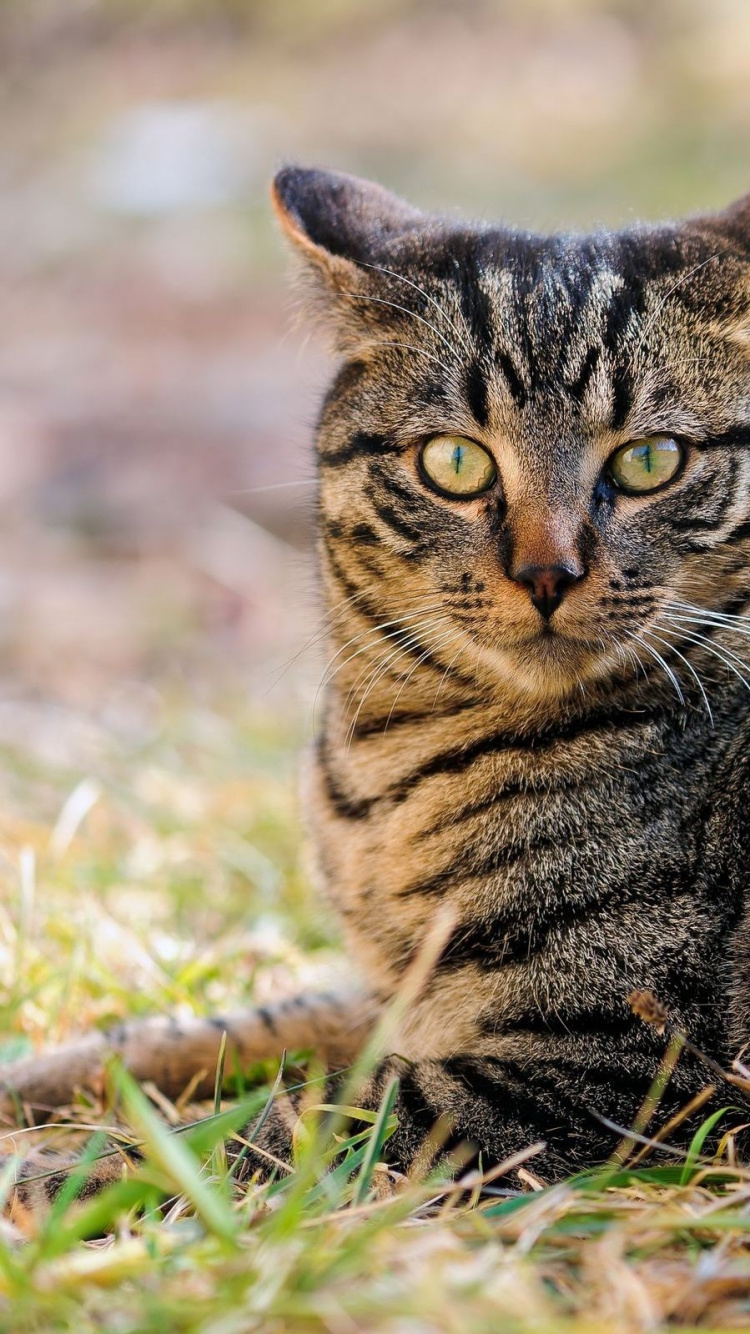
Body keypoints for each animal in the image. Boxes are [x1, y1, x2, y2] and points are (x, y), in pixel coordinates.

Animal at [4, 166, 747, 1211]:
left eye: (650, 461)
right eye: (454, 460)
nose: (548, 574)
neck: (380, 768)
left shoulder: (622, 1061)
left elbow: (287, 1130)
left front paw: (68, 1176)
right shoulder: (395, 995)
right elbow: (239, 1023)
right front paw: (42, 1077)